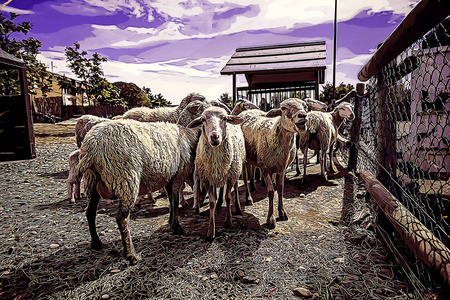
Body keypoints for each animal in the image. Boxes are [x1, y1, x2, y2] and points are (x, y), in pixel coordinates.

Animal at [76, 118, 201, 264]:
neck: (189, 139)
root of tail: (92, 147)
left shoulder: (169, 178)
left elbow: (171, 201)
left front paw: (171, 222)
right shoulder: (177, 176)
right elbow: (175, 203)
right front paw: (177, 227)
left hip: (92, 181)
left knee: (90, 212)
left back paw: (96, 243)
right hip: (125, 180)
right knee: (121, 219)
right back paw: (131, 255)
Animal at [188, 106, 248, 240]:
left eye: (224, 119)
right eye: (203, 120)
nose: (215, 136)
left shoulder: (231, 177)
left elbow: (228, 197)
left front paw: (229, 221)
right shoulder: (207, 179)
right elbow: (211, 202)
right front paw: (211, 230)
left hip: (236, 168)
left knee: (235, 187)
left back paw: (237, 207)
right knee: (219, 190)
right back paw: (219, 203)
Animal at [239, 97, 310, 229]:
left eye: (305, 106)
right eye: (283, 108)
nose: (303, 115)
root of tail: (246, 112)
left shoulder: (282, 169)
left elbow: (280, 189)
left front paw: (282, 212)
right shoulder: (265, 169)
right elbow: (271, 192)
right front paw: (271, 219)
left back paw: (253, 187)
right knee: (245, 177)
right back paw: (248, 197)